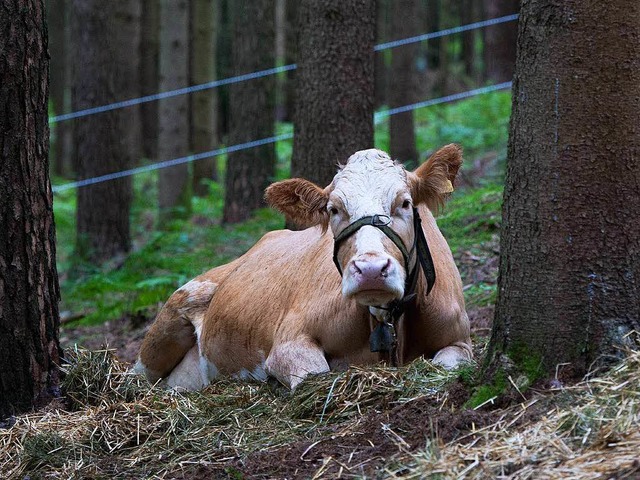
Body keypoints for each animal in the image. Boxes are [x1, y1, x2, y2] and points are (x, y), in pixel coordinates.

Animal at [138, 145, 472, 390]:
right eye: (334, 209)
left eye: (404, 203)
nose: (371, 269)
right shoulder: (288, 342)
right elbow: (316, 374)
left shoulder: (460, 341)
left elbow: (444, 363)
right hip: (168, 323)